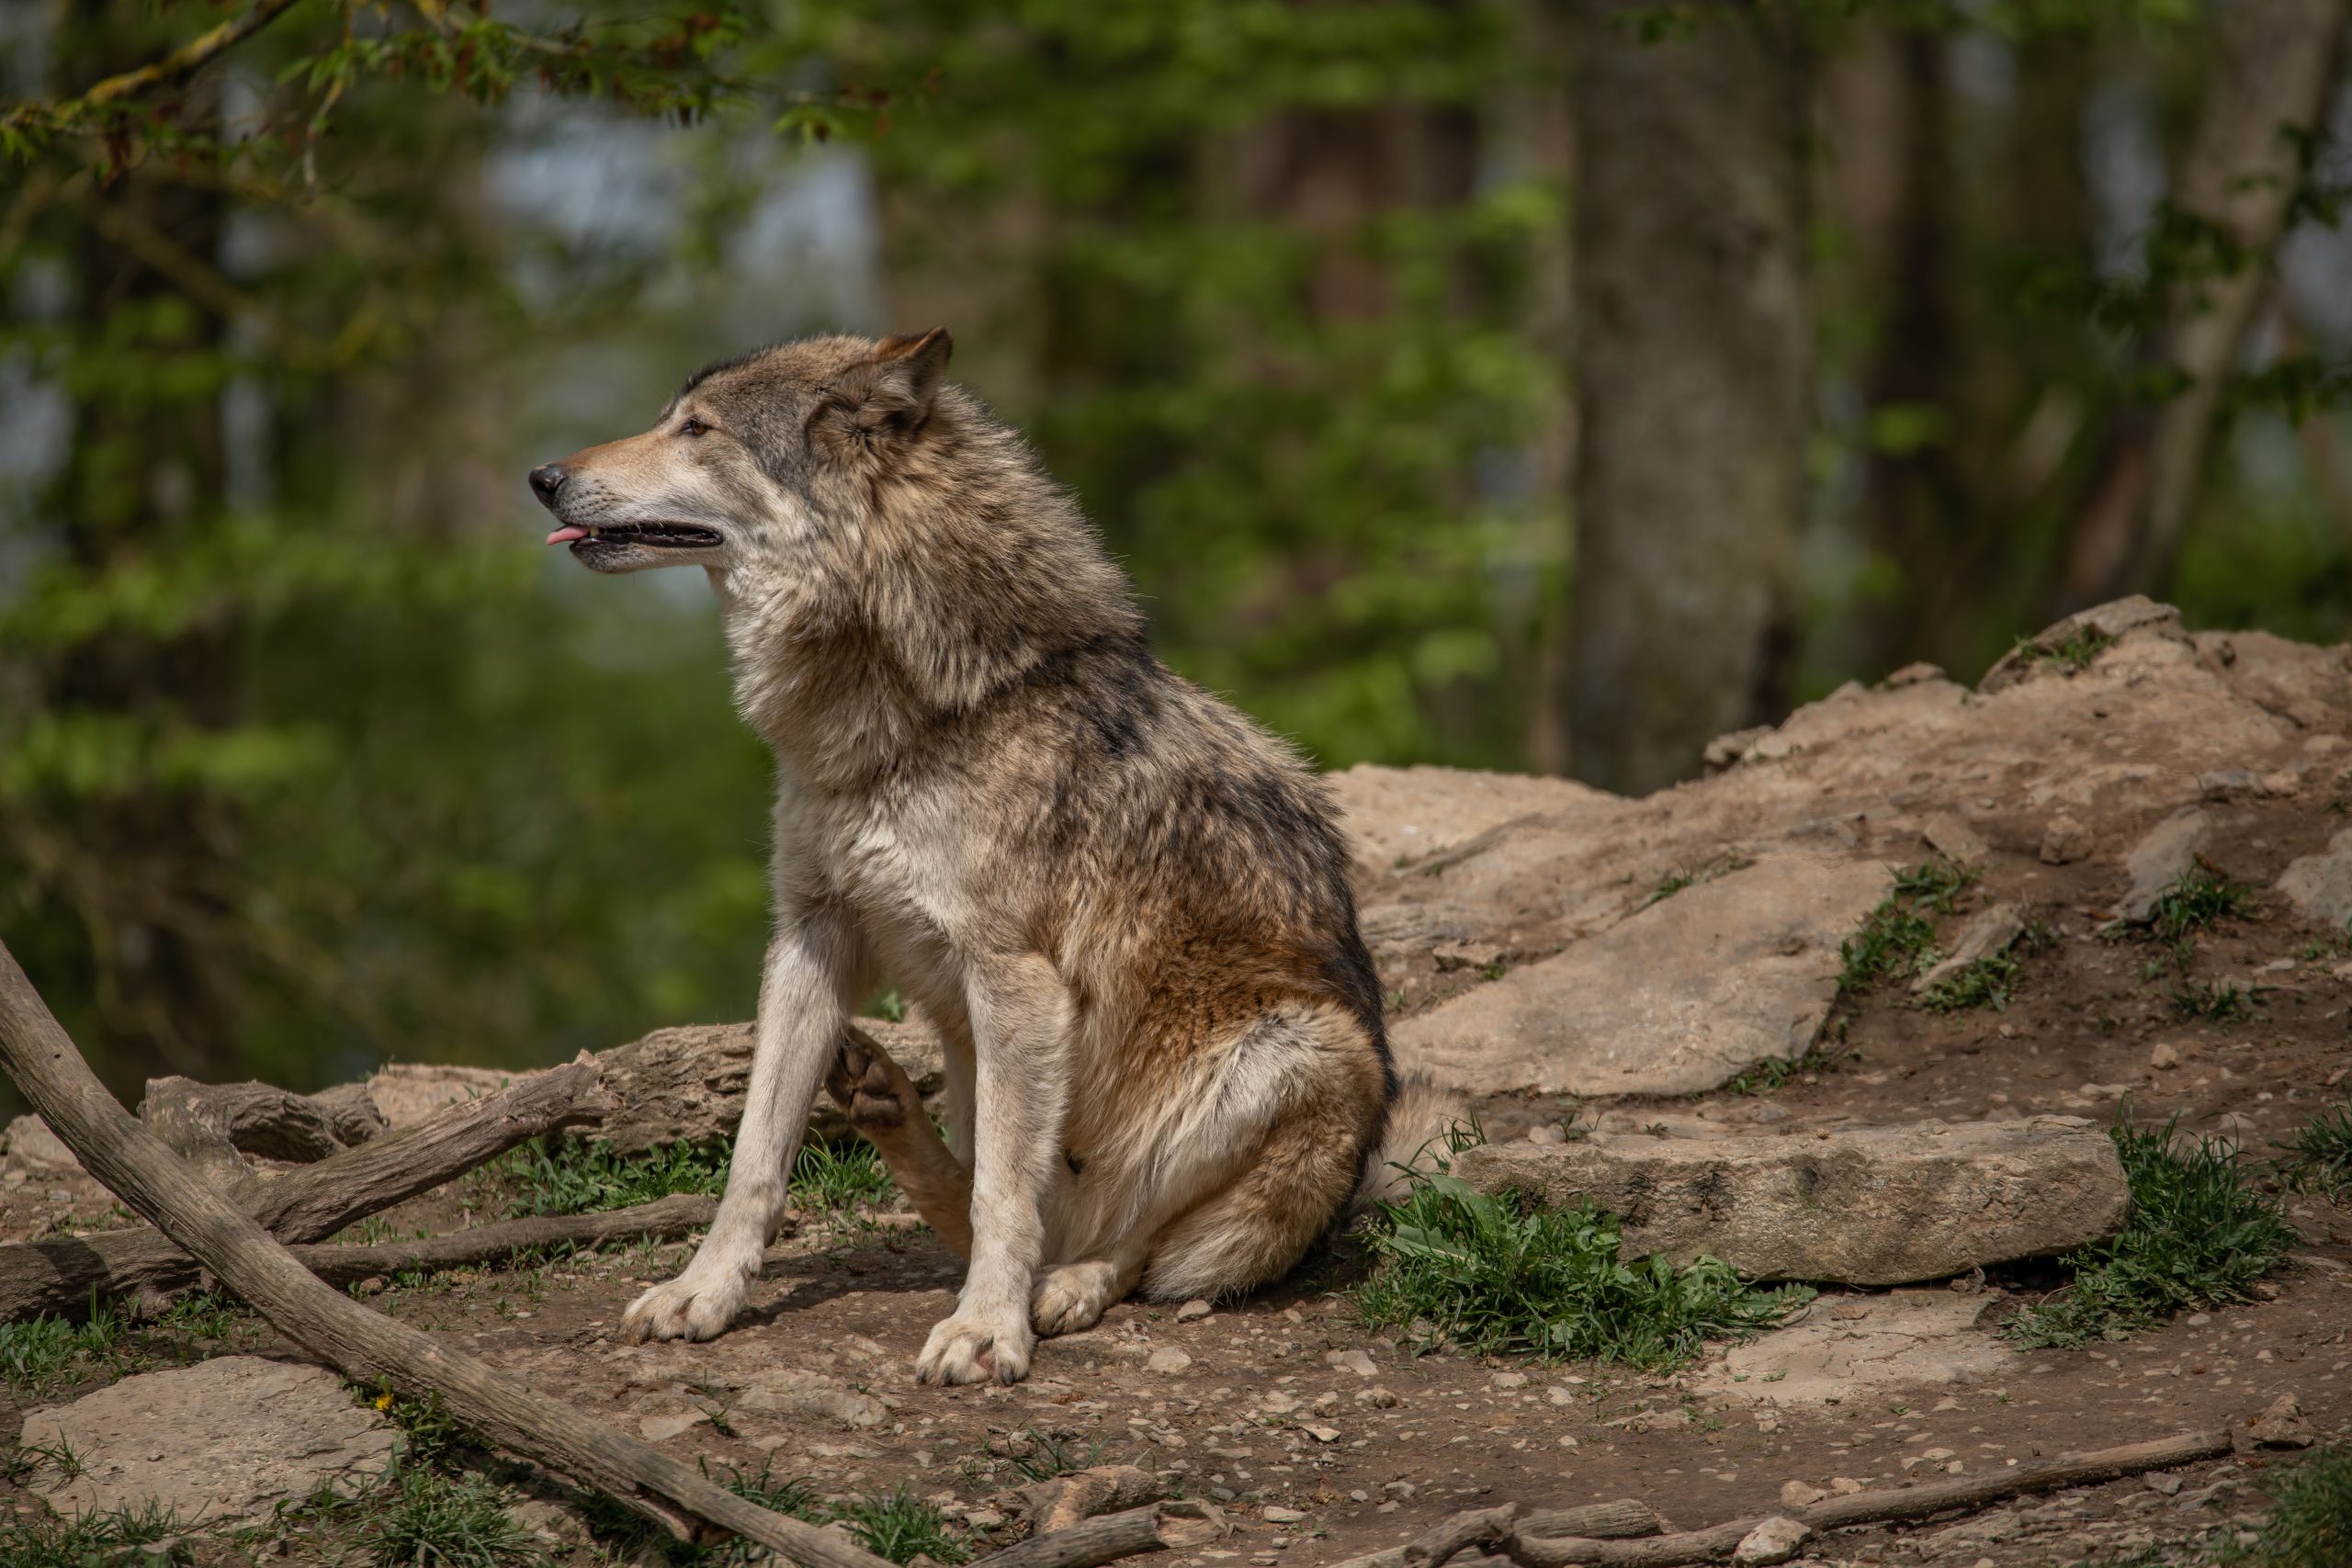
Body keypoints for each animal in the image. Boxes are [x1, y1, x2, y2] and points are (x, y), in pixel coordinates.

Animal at [529, 329, 1446, 1385]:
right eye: (672, 420)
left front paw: (984, 1332)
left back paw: (1063, 1286)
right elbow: (755, 1157)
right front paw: (703, 1293)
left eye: (697, 429)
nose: (542, 477)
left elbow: (1003, 1193)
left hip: (1300, 1050)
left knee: (1133, 1243)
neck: (908, 717)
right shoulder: (810, 935)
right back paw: (884, 1101)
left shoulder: (1017, 978)